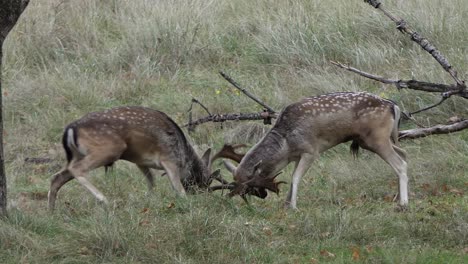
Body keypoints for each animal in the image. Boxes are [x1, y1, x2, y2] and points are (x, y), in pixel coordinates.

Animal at [47, 105, 234, 210]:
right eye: (205, 182)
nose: (203, 198)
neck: (183, 156)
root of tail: (70, 129)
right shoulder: (168, 159)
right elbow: (178, 189)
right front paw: (185, 202)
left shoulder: (141, 161)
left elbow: (151, 183)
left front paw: (148, 201)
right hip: (110, 148)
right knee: (76, 169)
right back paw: (103, 199)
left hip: (77, 155)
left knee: (57, 177)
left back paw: (51, 213)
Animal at [217, 92, 410, 209]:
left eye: (251, 183)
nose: (262, 195)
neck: (286, 145)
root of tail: (393, 106)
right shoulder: (296, 156)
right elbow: (293, 177)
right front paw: (286, 205)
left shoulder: (311, 150)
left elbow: (295, 177)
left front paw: (293, 206)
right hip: (372, 140)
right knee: (404, 154)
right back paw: (397, 197)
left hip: (376, 138)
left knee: (400, 163)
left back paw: (403, 202)